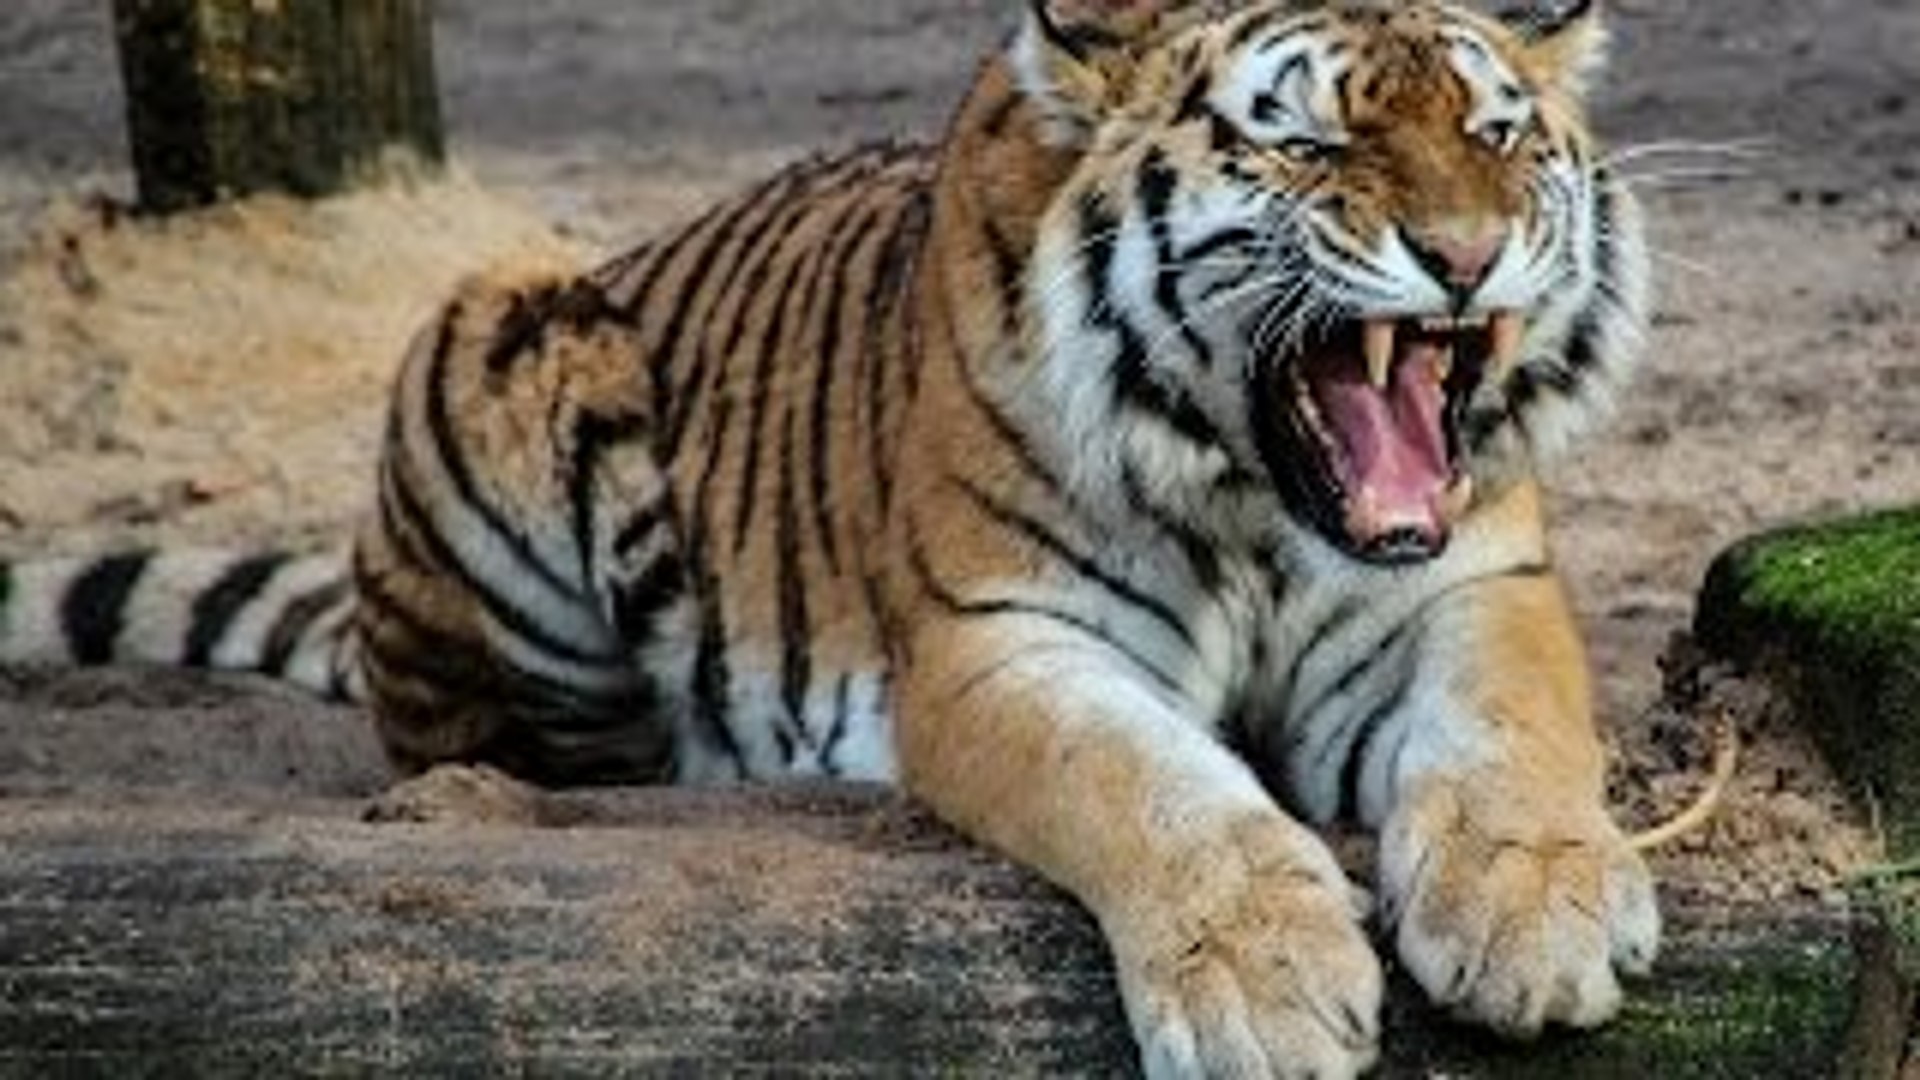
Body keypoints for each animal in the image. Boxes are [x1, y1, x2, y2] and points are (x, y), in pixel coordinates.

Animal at [1, 1, 1661, 1074]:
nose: (1466, 256)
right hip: (505, 331)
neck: (1257, 501)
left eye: (1498, 136)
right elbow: (1147, 787)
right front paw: (1266, 980)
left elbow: (1512, 734)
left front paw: (1539, 914)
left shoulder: (1469, 586)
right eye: (1310, 146)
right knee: (485, 742)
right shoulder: (1000, 641)